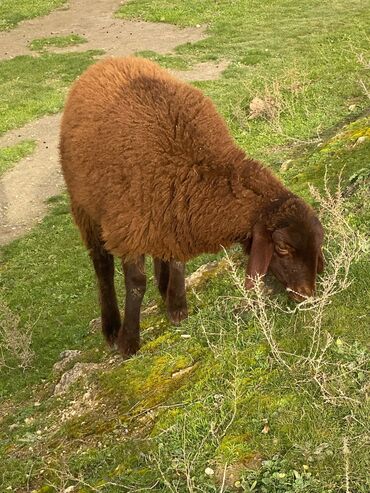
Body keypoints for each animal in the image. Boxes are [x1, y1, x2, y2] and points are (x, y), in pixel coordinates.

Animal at [59, 55, 322, 356]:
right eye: (282, 249)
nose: (308, 295)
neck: (193, 162)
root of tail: (110, 61)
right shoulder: (128, 227)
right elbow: (136, 284)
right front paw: (129, 342)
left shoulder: (176, 211)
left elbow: (177, 260)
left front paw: (177, 307)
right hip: (84, 206)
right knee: (101, 265)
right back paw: (111, 326)